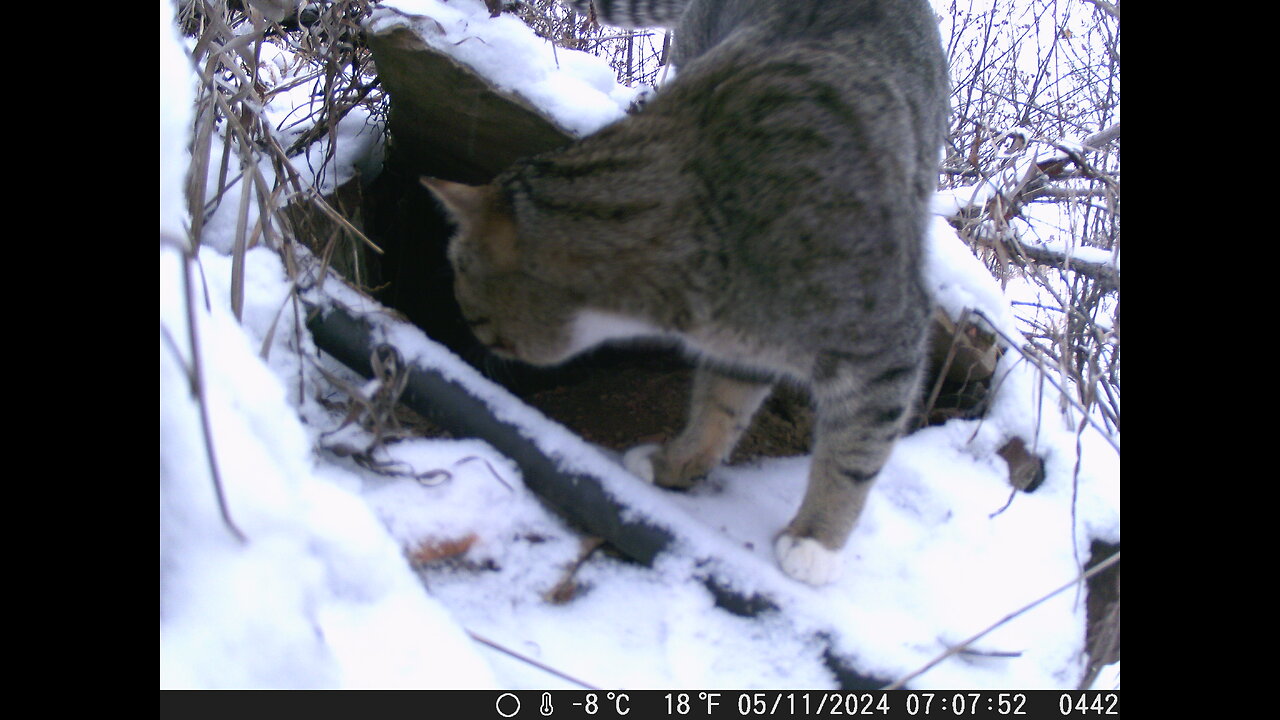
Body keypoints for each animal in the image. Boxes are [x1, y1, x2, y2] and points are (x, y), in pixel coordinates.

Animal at [422, 0, 952, 584]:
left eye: (465, 295)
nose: (467, 336)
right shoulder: (741, 349)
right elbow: (720, 408)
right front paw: (676, 463)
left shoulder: (889, 343)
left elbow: (855, 451)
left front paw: (816, 540)